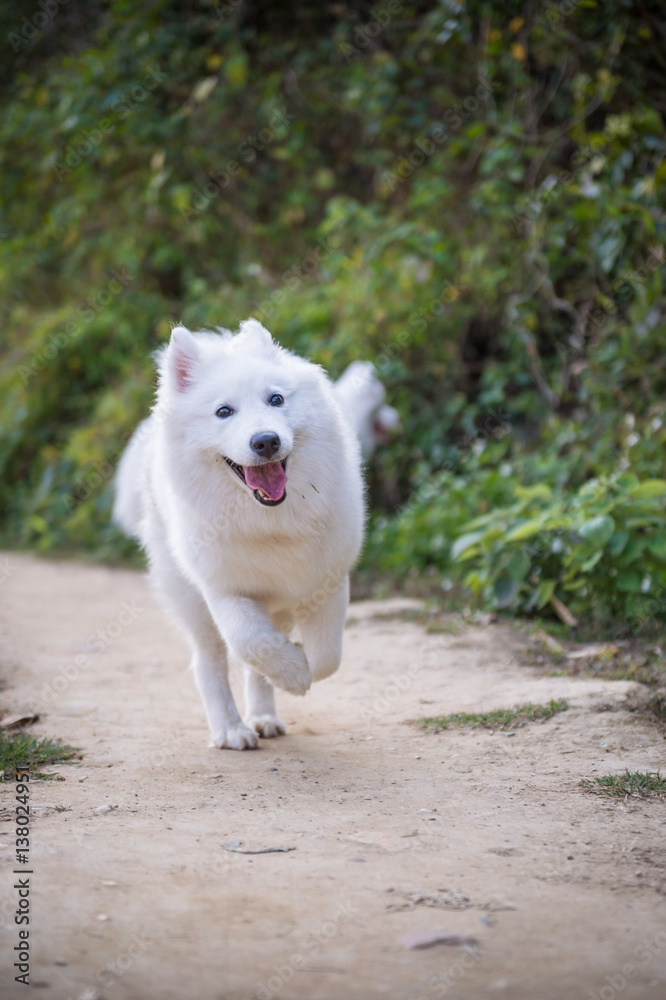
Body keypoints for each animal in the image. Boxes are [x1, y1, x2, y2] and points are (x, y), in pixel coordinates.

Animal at [113, 320, 364, 752]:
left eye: (276, 399)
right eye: (224, 412)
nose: (266, 441)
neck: (270, 522)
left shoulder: (328, 582)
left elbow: (327, 657)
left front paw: (299, 664)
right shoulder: (225, 590)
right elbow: (250, 643)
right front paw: (294, 673)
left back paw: (263, 718)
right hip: (191, 603)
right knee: (209, 662)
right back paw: (231, 730)